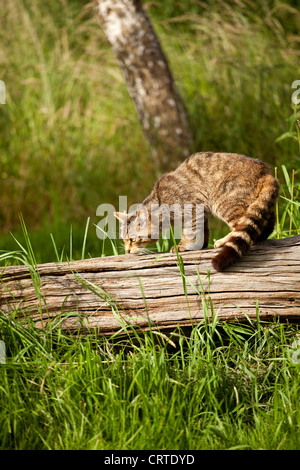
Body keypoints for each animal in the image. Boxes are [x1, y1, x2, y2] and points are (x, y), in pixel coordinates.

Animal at [113, 153, 280, 272]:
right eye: (124, 240)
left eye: (133, 240)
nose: (127, 250)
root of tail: (266, 171)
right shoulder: (201, 212)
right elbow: (202, 230)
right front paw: (201, 244)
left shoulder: (192, 208)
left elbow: (189, 231)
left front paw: (183, 245)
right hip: (261, 205)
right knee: (264, 225)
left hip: (225, 202)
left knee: (241, 225)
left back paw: (224, 240)